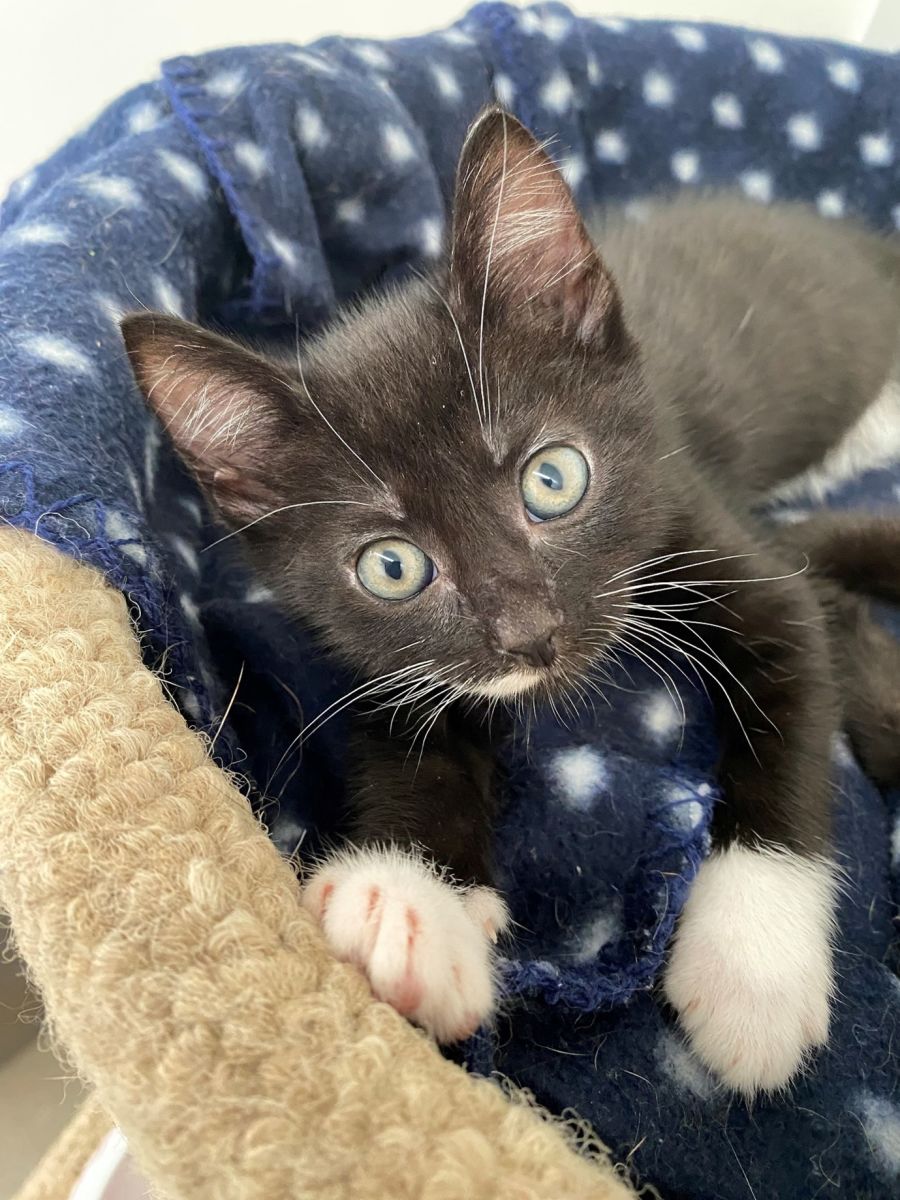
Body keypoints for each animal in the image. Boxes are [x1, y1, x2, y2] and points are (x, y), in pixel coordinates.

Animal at [121, 107, 900, 1097]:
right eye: (393, 568)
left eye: (553, 480)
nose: (531, 637)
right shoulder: (385, 663)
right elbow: (405, 743)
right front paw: (406, 905)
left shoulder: (720, 533)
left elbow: (790, 722)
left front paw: (751, 972)